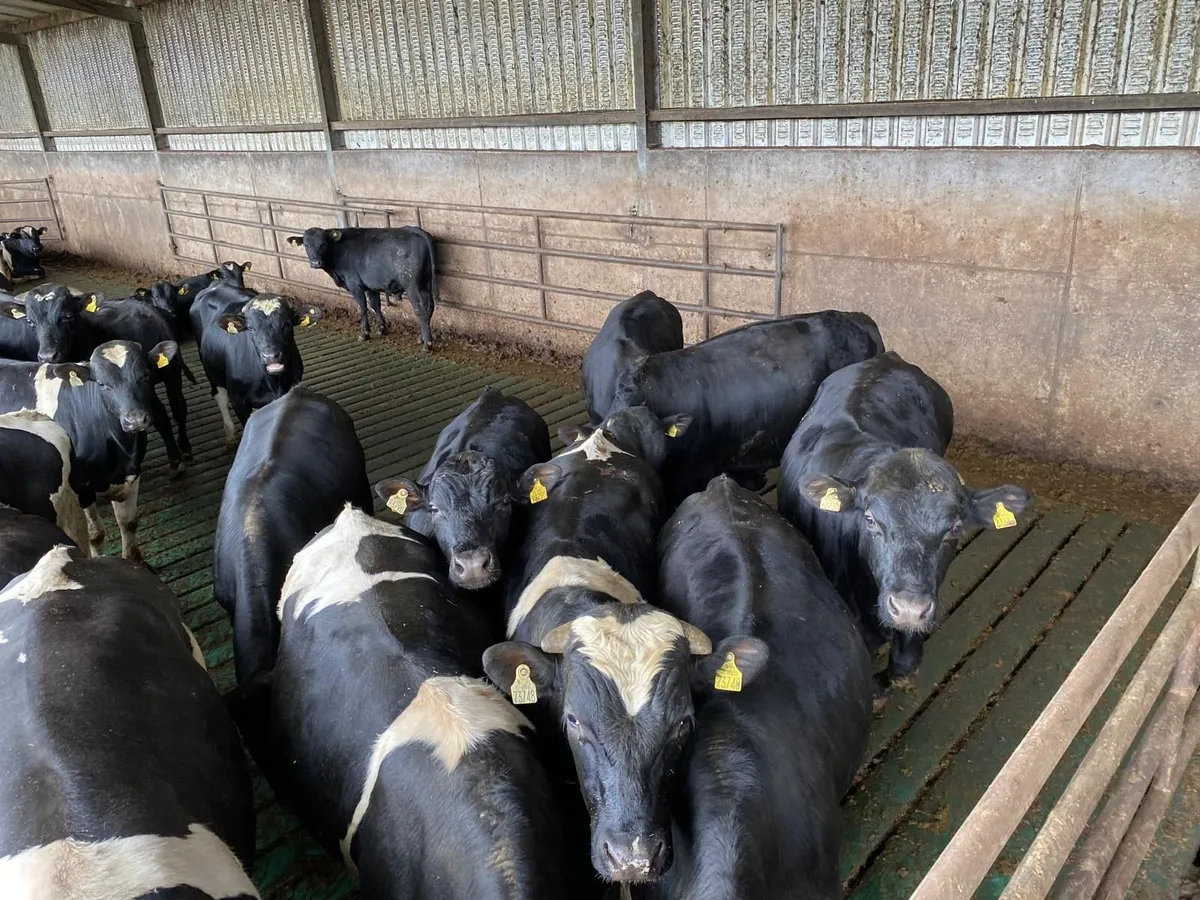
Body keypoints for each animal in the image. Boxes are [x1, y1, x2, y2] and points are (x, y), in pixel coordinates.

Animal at [0, 283, 194, 476]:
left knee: (175, 407)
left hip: (170, 373)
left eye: (67, 316)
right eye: (30, 322)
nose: (48, 355)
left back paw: (181, 451)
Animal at [190, 284, 322, 445]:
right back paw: (230, 434)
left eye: (286, 324)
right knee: (219, 395)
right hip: (210, 369)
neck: (274, 383)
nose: (270, 356)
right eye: (251, 327)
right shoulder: (238, 400)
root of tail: (215, 286)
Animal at [287, 226, 437, 348]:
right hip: (426, 282)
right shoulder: (370, 286)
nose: (315, 263)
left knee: (420, 309)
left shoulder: (355, 285)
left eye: (323, 244)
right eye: (306, 245)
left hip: (412, 285)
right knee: (429, 307)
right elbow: (375, 306)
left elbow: (363, 307)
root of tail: (413, 229)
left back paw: (427, 343)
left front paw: (364, 333)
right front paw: (382, 329)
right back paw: (421, 338)